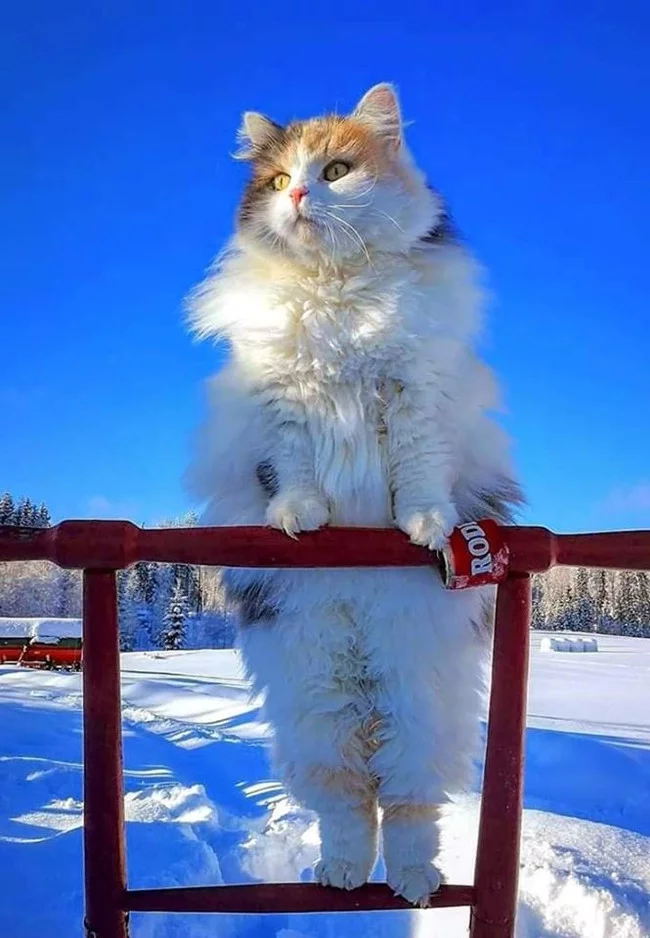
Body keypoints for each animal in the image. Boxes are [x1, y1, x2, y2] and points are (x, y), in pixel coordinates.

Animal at [185, 84, 520, 904]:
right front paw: (300, 519)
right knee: (347, 805)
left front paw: (426, 526)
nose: (301, 195)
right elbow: (297, 472)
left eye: (336, 170)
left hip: (417, 704)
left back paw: (413, 883)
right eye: (278, 181)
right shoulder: (284, 409)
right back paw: (340, 876)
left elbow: (419, 472)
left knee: (405, 807)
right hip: (318, 702)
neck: (334, 293)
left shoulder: (417, 394)